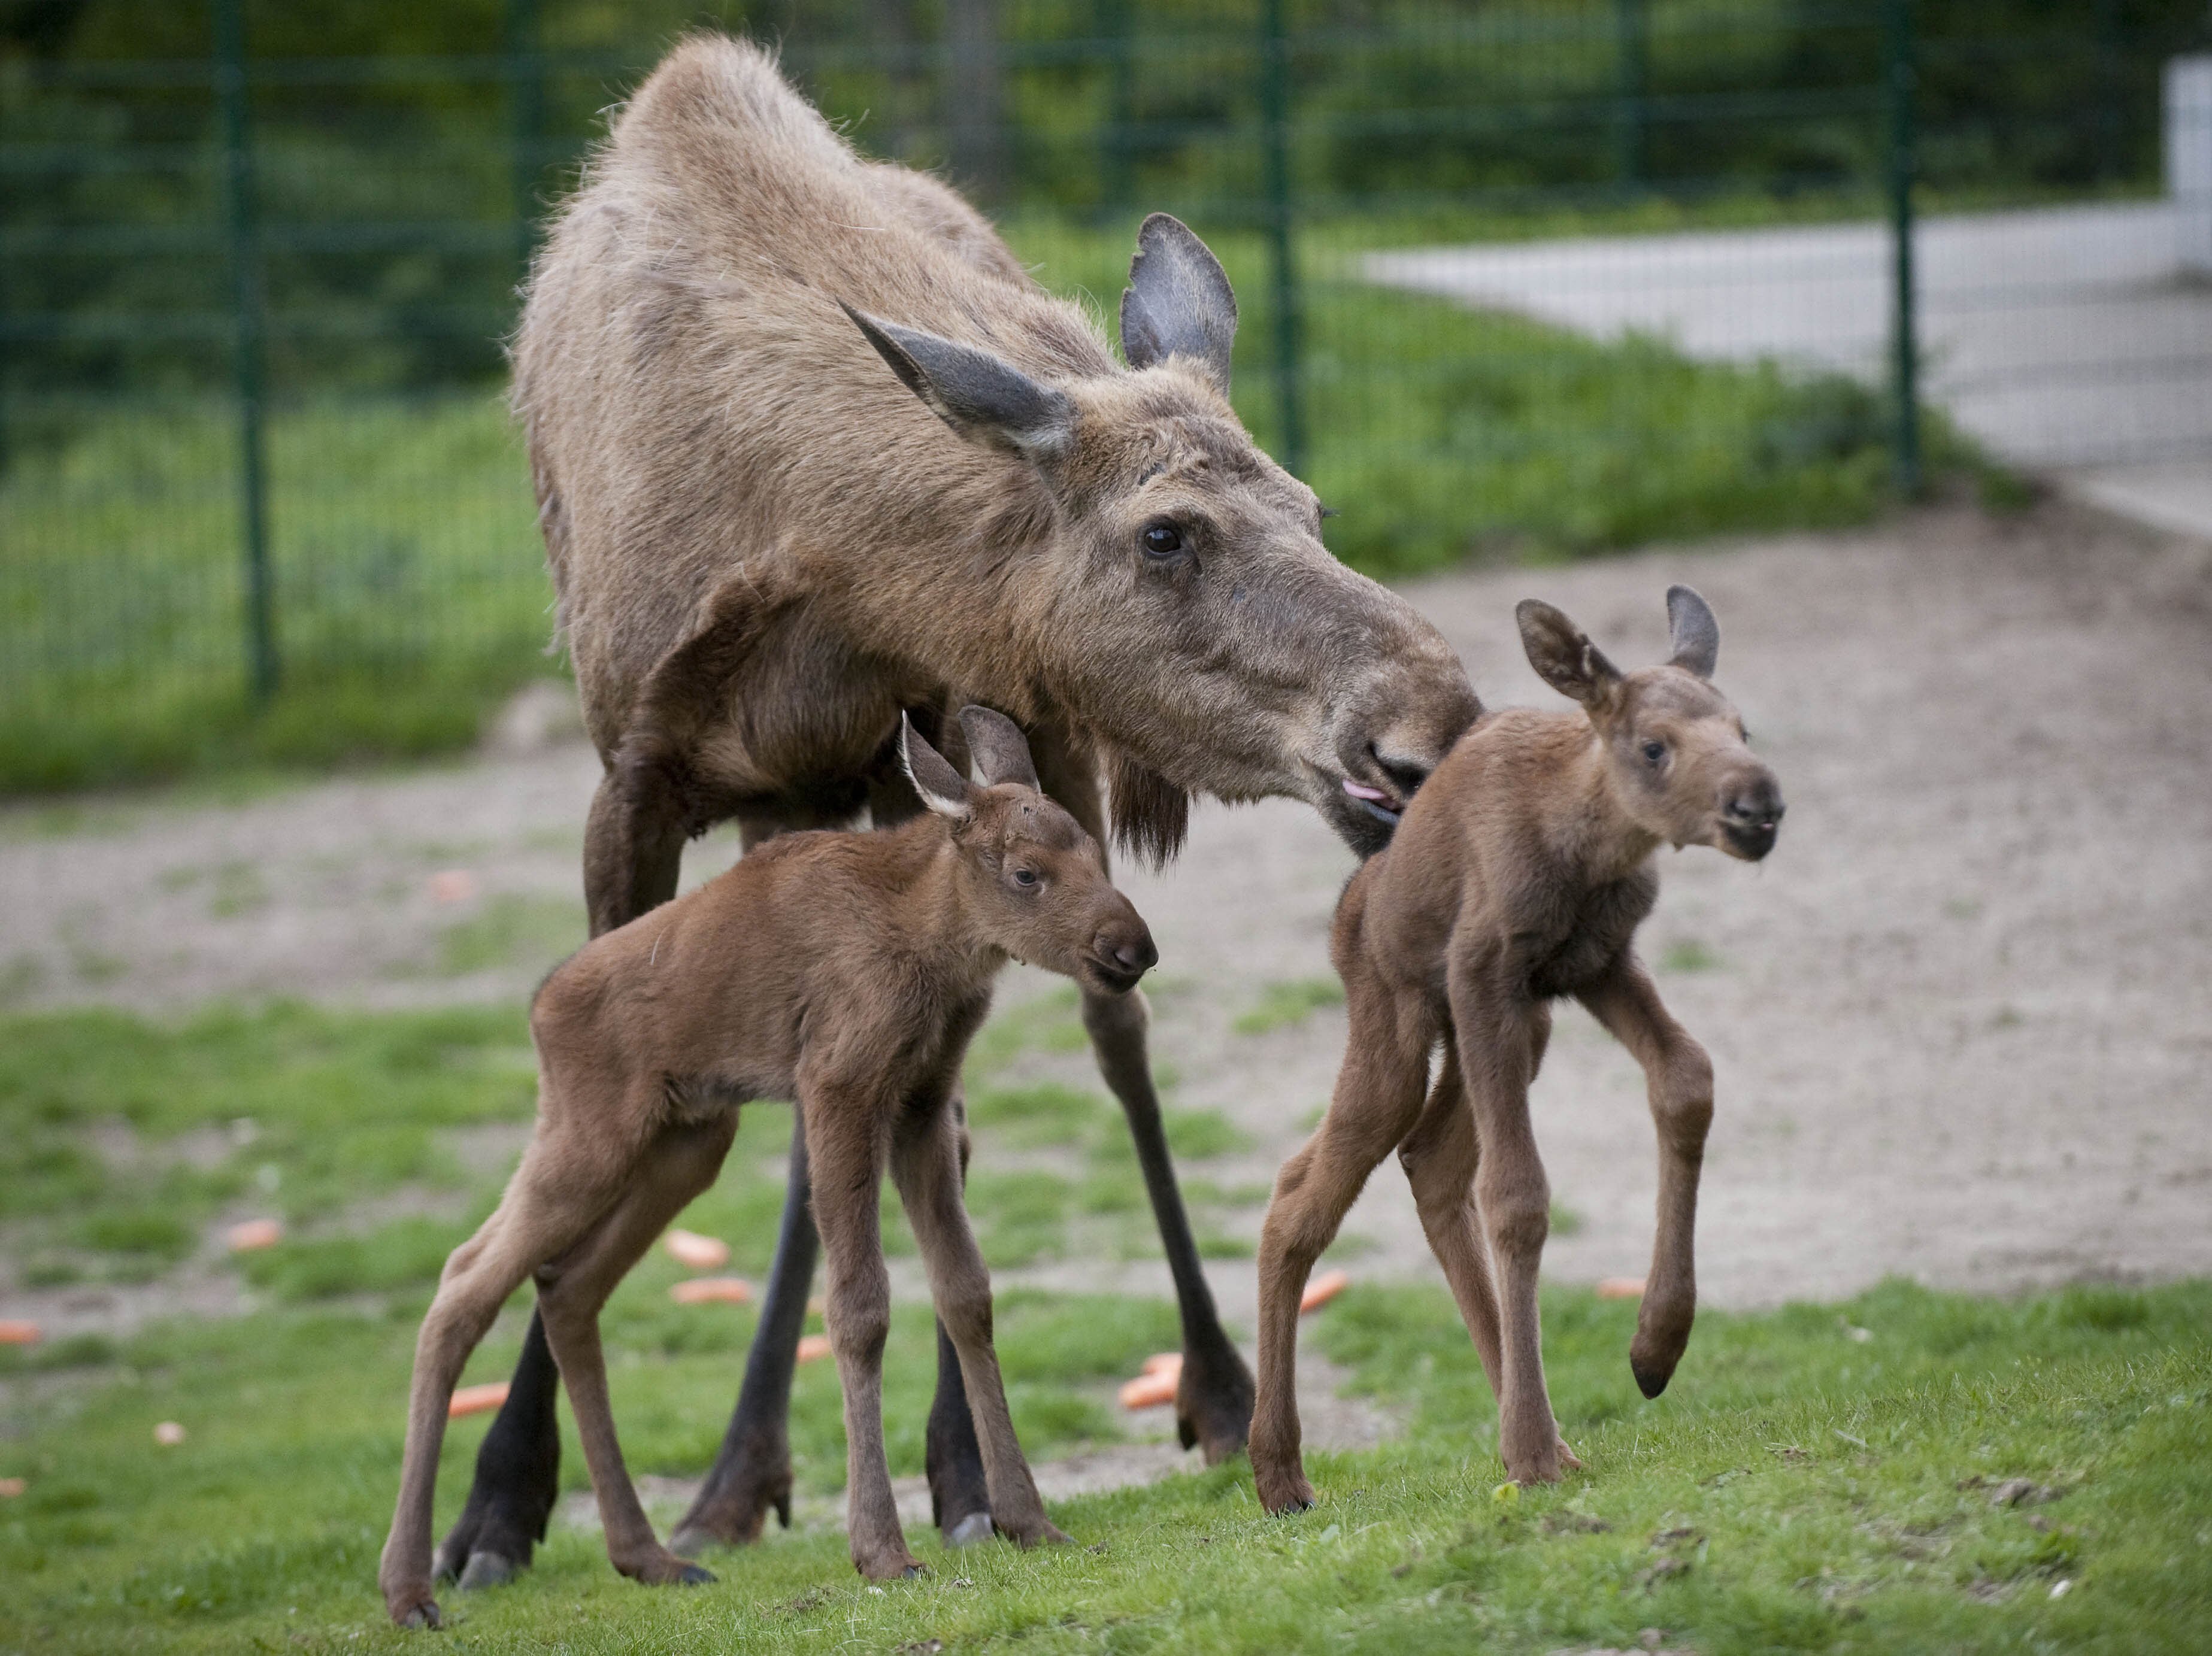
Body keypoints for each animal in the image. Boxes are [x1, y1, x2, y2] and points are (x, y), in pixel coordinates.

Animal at [380, 703, 1150, 1618]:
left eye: (1097, 851)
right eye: (1027, 873)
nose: (1132, 947)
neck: (932, 945)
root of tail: (539, 1008)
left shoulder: (922, 1102)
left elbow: (967, 1292)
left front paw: (1028, 1520)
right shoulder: (839, 1085)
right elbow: (858, 1306)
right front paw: (882, 1550)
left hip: (686, 1141)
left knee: (566, 1288)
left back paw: (648, 1556)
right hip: (590, 1137)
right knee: (463, 1281)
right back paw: (408, 1587)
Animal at [1256, 588, 1787, 1503]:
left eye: (1742, 729)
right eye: (1653, 745)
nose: (1758, 806)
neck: (1587, 848)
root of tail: (1346, 908)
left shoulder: (1595, 964)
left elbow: (1688, 1078)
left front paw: (1655, 1347)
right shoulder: (1486, 974)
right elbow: (1517, 1195)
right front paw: (1529, 1456)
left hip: (1520, 1031)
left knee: (1425, 1162)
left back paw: (1542, 1431)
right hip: (1400, 1025)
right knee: (1300, 1196)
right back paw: (1280, 1469)